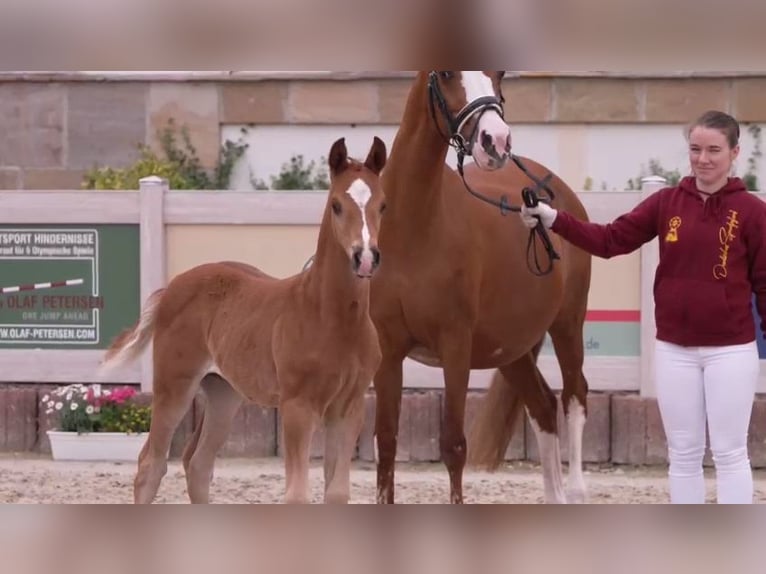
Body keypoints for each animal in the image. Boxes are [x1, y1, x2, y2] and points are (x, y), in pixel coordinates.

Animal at [100, 136, 390, 504]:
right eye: (337, 205)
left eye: (383, 205)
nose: (365, 257)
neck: (333, 318)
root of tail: (171, 288)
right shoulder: (298, 406)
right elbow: (297, 494)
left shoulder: (348, 408)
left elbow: (337, 493)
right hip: (174, 385)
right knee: (150, 465)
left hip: (224, 393)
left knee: (198, 463)